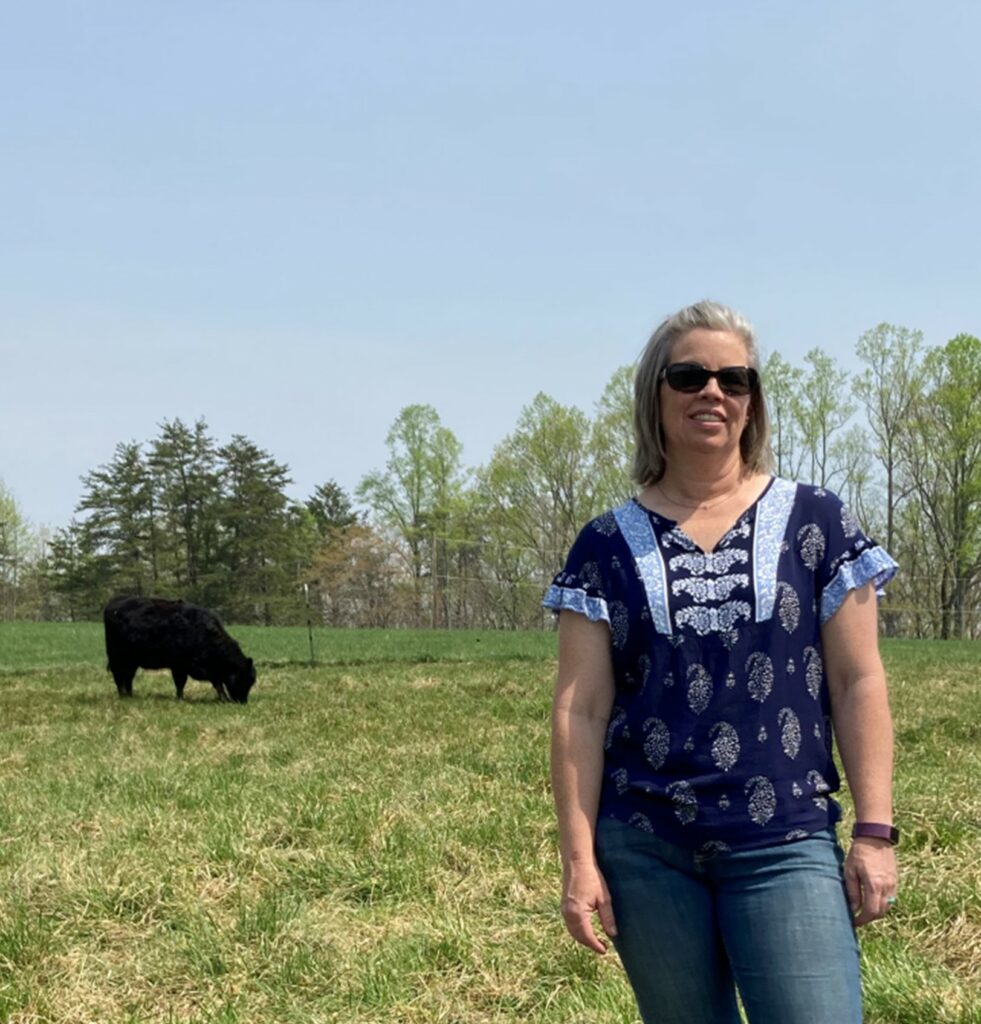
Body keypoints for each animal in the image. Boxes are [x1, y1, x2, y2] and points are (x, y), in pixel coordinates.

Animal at [103, 598, 257, 700]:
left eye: (251, 681)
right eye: (244, 678)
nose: (243, 702)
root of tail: (112, 606)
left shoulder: (210, 670)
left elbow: (217, 683)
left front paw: (223, 698)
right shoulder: (179, 666)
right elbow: (180, 683)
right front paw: (180, 698)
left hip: (132, 662)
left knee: (128, 678)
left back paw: (130, 696)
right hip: (118, 659)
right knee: (119, 678)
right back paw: (123, 696)